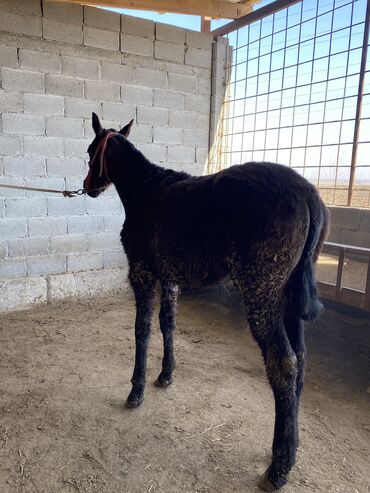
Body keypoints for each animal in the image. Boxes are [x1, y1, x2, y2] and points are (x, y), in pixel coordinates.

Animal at [82, 112, 328, 492]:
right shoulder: (169, 277)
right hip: (287, 295)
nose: (89, 186)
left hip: (261, 292)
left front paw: (136, 392)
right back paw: (289, 446)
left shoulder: (141, 273)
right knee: (300, 358)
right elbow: (167, 324)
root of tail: (308, 194)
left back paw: (279, 467)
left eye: (91, 152)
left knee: (284, 362)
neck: (145, 189)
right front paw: (165, 375)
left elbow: (142, 330)